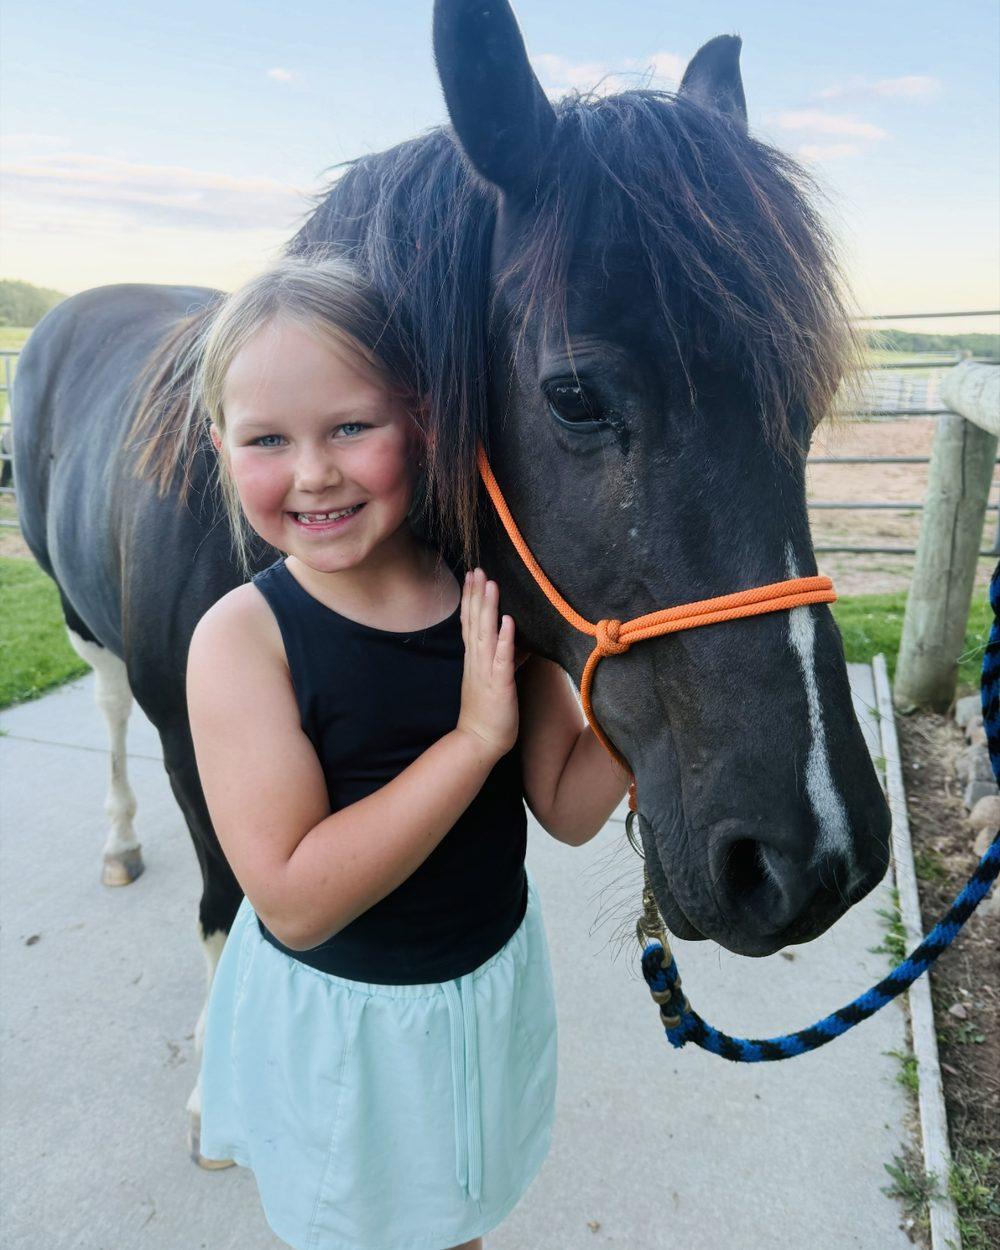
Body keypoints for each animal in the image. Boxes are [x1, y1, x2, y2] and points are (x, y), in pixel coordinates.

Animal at [12, 0, 890, 1159]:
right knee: (107, 712)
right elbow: (223, 901)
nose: (818, 855)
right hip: (84, 626)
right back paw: (118, 840)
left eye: (808, 401)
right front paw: (218, 1091)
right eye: (573, 395)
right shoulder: (198, 752)